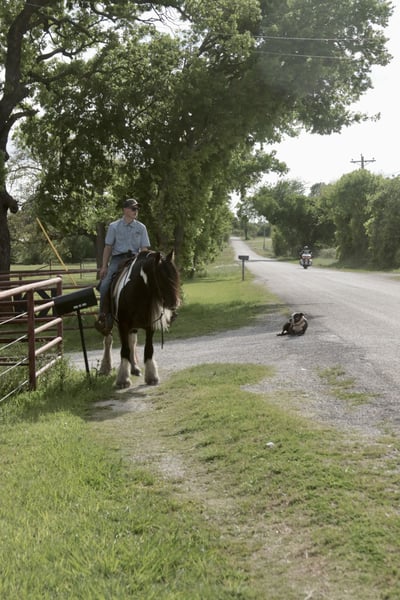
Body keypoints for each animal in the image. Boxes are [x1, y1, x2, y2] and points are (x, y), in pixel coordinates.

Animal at [99, 250, 181, 388]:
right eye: (162, 278)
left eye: (175, 276)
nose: (174, 304)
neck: (137, 292)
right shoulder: (123, 325)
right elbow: (124, 350)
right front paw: (123, 380)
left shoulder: (149, 326)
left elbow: (148, 349)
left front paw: (152, 377)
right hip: (110, 323)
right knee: (108, 340)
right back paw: (105, 367)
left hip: (133, 327)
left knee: (132, 342)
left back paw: (134, 368)